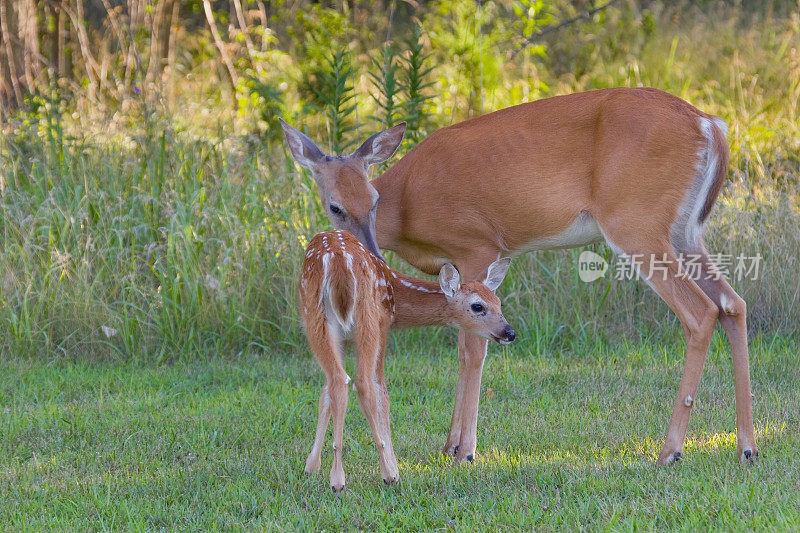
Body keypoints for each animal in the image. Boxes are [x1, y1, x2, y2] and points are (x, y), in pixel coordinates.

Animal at [298, 229, 512, 490]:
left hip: (314, 317)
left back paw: (336, 477)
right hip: (368, 316)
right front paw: (391, 465)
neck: (396, 295)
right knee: (363, 384)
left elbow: (325, 393)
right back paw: (384, 473)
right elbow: (382, 394)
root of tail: (337, 261)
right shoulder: (384, 324)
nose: (509, 333)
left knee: (338, 381)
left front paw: (311, 467)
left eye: (498, 303)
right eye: (477, 306)